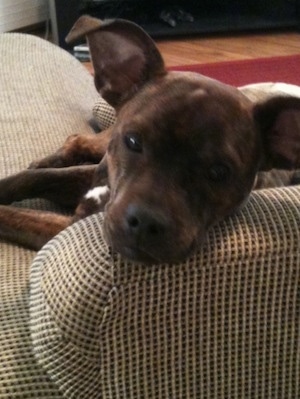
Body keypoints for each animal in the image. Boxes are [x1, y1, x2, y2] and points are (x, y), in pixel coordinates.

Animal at [0, 15, 298, 264]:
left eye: (219, 172)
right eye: (132, 141)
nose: (144, 222)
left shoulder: (70, 223)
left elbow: (15, 216)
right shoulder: (93, 175)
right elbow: (36, 178)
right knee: (77, 140)